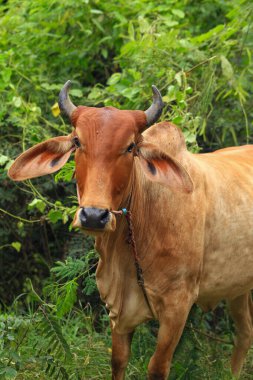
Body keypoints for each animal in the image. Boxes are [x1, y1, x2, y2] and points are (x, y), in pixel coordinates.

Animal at [7, 81, 253, 380]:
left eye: (130, 146)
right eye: (77, 142)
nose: (94, 215)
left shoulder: (178, 305)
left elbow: (157, 367)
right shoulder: (119, 309)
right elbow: (118, 359)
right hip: (238, 287)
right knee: (245, 333)